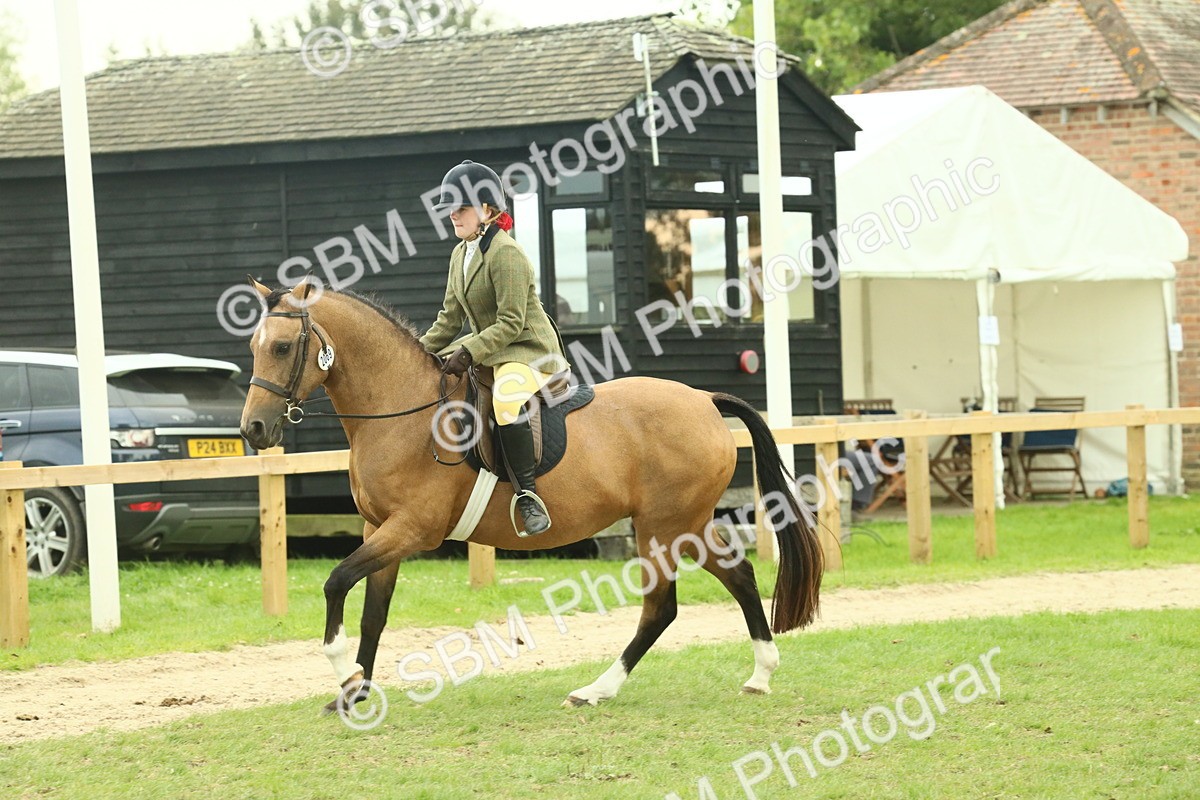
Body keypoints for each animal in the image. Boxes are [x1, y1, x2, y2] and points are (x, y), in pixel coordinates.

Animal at [238, 277, 823, 711]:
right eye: (253, 348)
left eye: (283, 347)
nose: (254, 430)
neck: (400, 412)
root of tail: (703, 399)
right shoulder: (379, 528)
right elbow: (373, 613)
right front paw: (354, 694)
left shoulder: (412, 529)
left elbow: (336, 582)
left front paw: (341, 670)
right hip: (687, 523)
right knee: (739, 577)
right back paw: (760, 675)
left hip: (663, 527)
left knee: (661, 608)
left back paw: (595, 690)